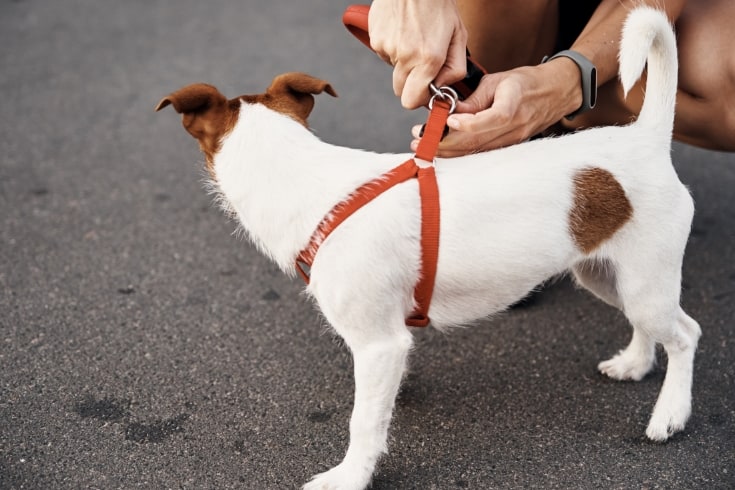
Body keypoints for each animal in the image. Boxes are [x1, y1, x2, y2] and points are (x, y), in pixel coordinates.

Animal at [157, 8, 700, 490]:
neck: (304, 178)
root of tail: (645, 139)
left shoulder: (378, 345)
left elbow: (364, 422)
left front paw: (352, 476)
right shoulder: (388, 344)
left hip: (644, 279)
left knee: (685, 334)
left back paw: (670, 412)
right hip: (608, 273)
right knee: (649, 324)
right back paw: (635, 363)